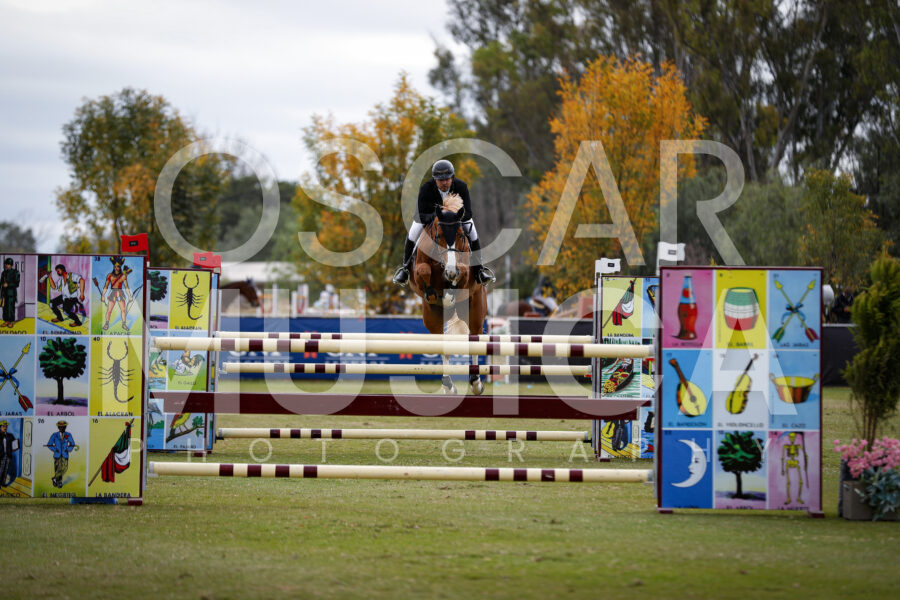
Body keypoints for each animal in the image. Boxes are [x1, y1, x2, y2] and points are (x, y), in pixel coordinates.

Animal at [409, 193, 487, 396]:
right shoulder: (419, 272)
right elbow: (423, 271)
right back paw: (448, 385)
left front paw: (450, 291)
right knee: (442, 343)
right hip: (432, 319)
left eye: (460, 235)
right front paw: (434, 293)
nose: (450, 271)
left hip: (475, 310)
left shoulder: (465, 272)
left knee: (474, 337)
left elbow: (462, 273)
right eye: (439, 236)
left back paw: (476, 383)